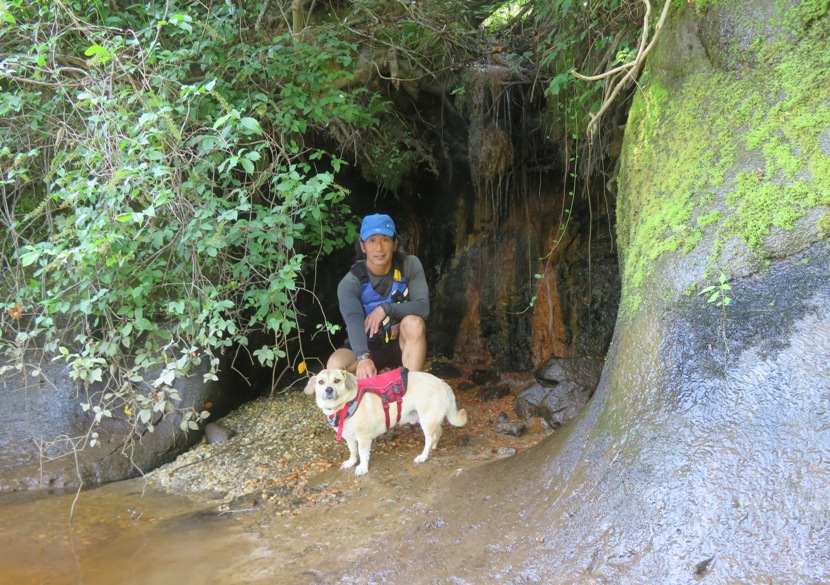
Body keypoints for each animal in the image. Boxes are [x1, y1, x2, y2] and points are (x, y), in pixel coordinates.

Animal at [308, 370, 472, 474]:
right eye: (321, 382)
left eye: (337, 381)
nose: (328, 390)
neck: (344, 405)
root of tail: (442, 382)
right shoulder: (349, 437)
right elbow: (353, 451)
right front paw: (351, 462)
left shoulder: (363, 437)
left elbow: (362, 453)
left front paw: (362, 467)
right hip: (431, 419)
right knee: (438, 432)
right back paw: (434, 446)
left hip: (426, 420)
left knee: (429, 439)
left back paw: (423, 456)